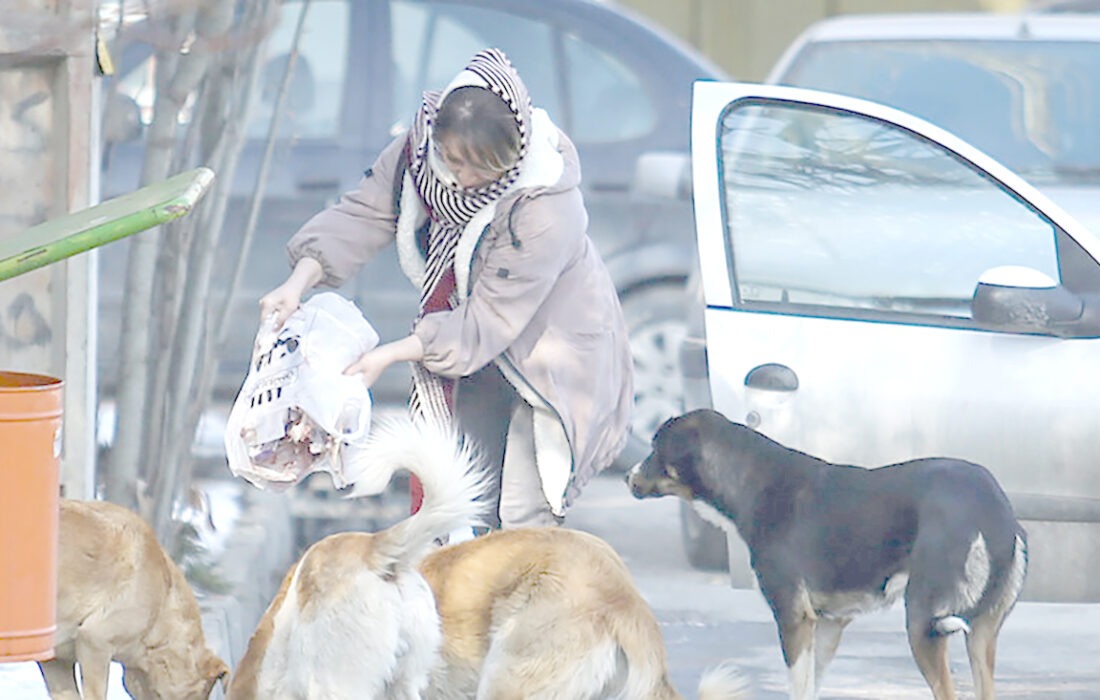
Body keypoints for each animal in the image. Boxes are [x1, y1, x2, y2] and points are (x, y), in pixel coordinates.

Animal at [629, 407, 1029, 700]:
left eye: (655, 448)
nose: (627, 477)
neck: (752, 481)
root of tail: (993, 510)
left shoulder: (793, 619)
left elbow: (797, 687)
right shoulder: (828, 625)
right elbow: (810, 688)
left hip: (923, 622)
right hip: (981, 634)